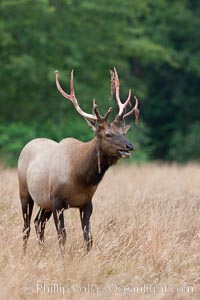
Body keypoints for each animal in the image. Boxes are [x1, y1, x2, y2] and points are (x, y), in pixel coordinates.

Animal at [17, 67, 139, 253]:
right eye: (108, 134)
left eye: (123, 132)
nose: (129, 146)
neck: (80, 176)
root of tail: (27, 145)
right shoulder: (57, 201)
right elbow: (62, 236)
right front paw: (63, 256)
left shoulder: (87, 202)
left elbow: (88, 238)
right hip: (25, 192)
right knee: (26, 226)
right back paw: (24, 252)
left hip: (44, 202)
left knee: (38, 222)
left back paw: (42, 251)